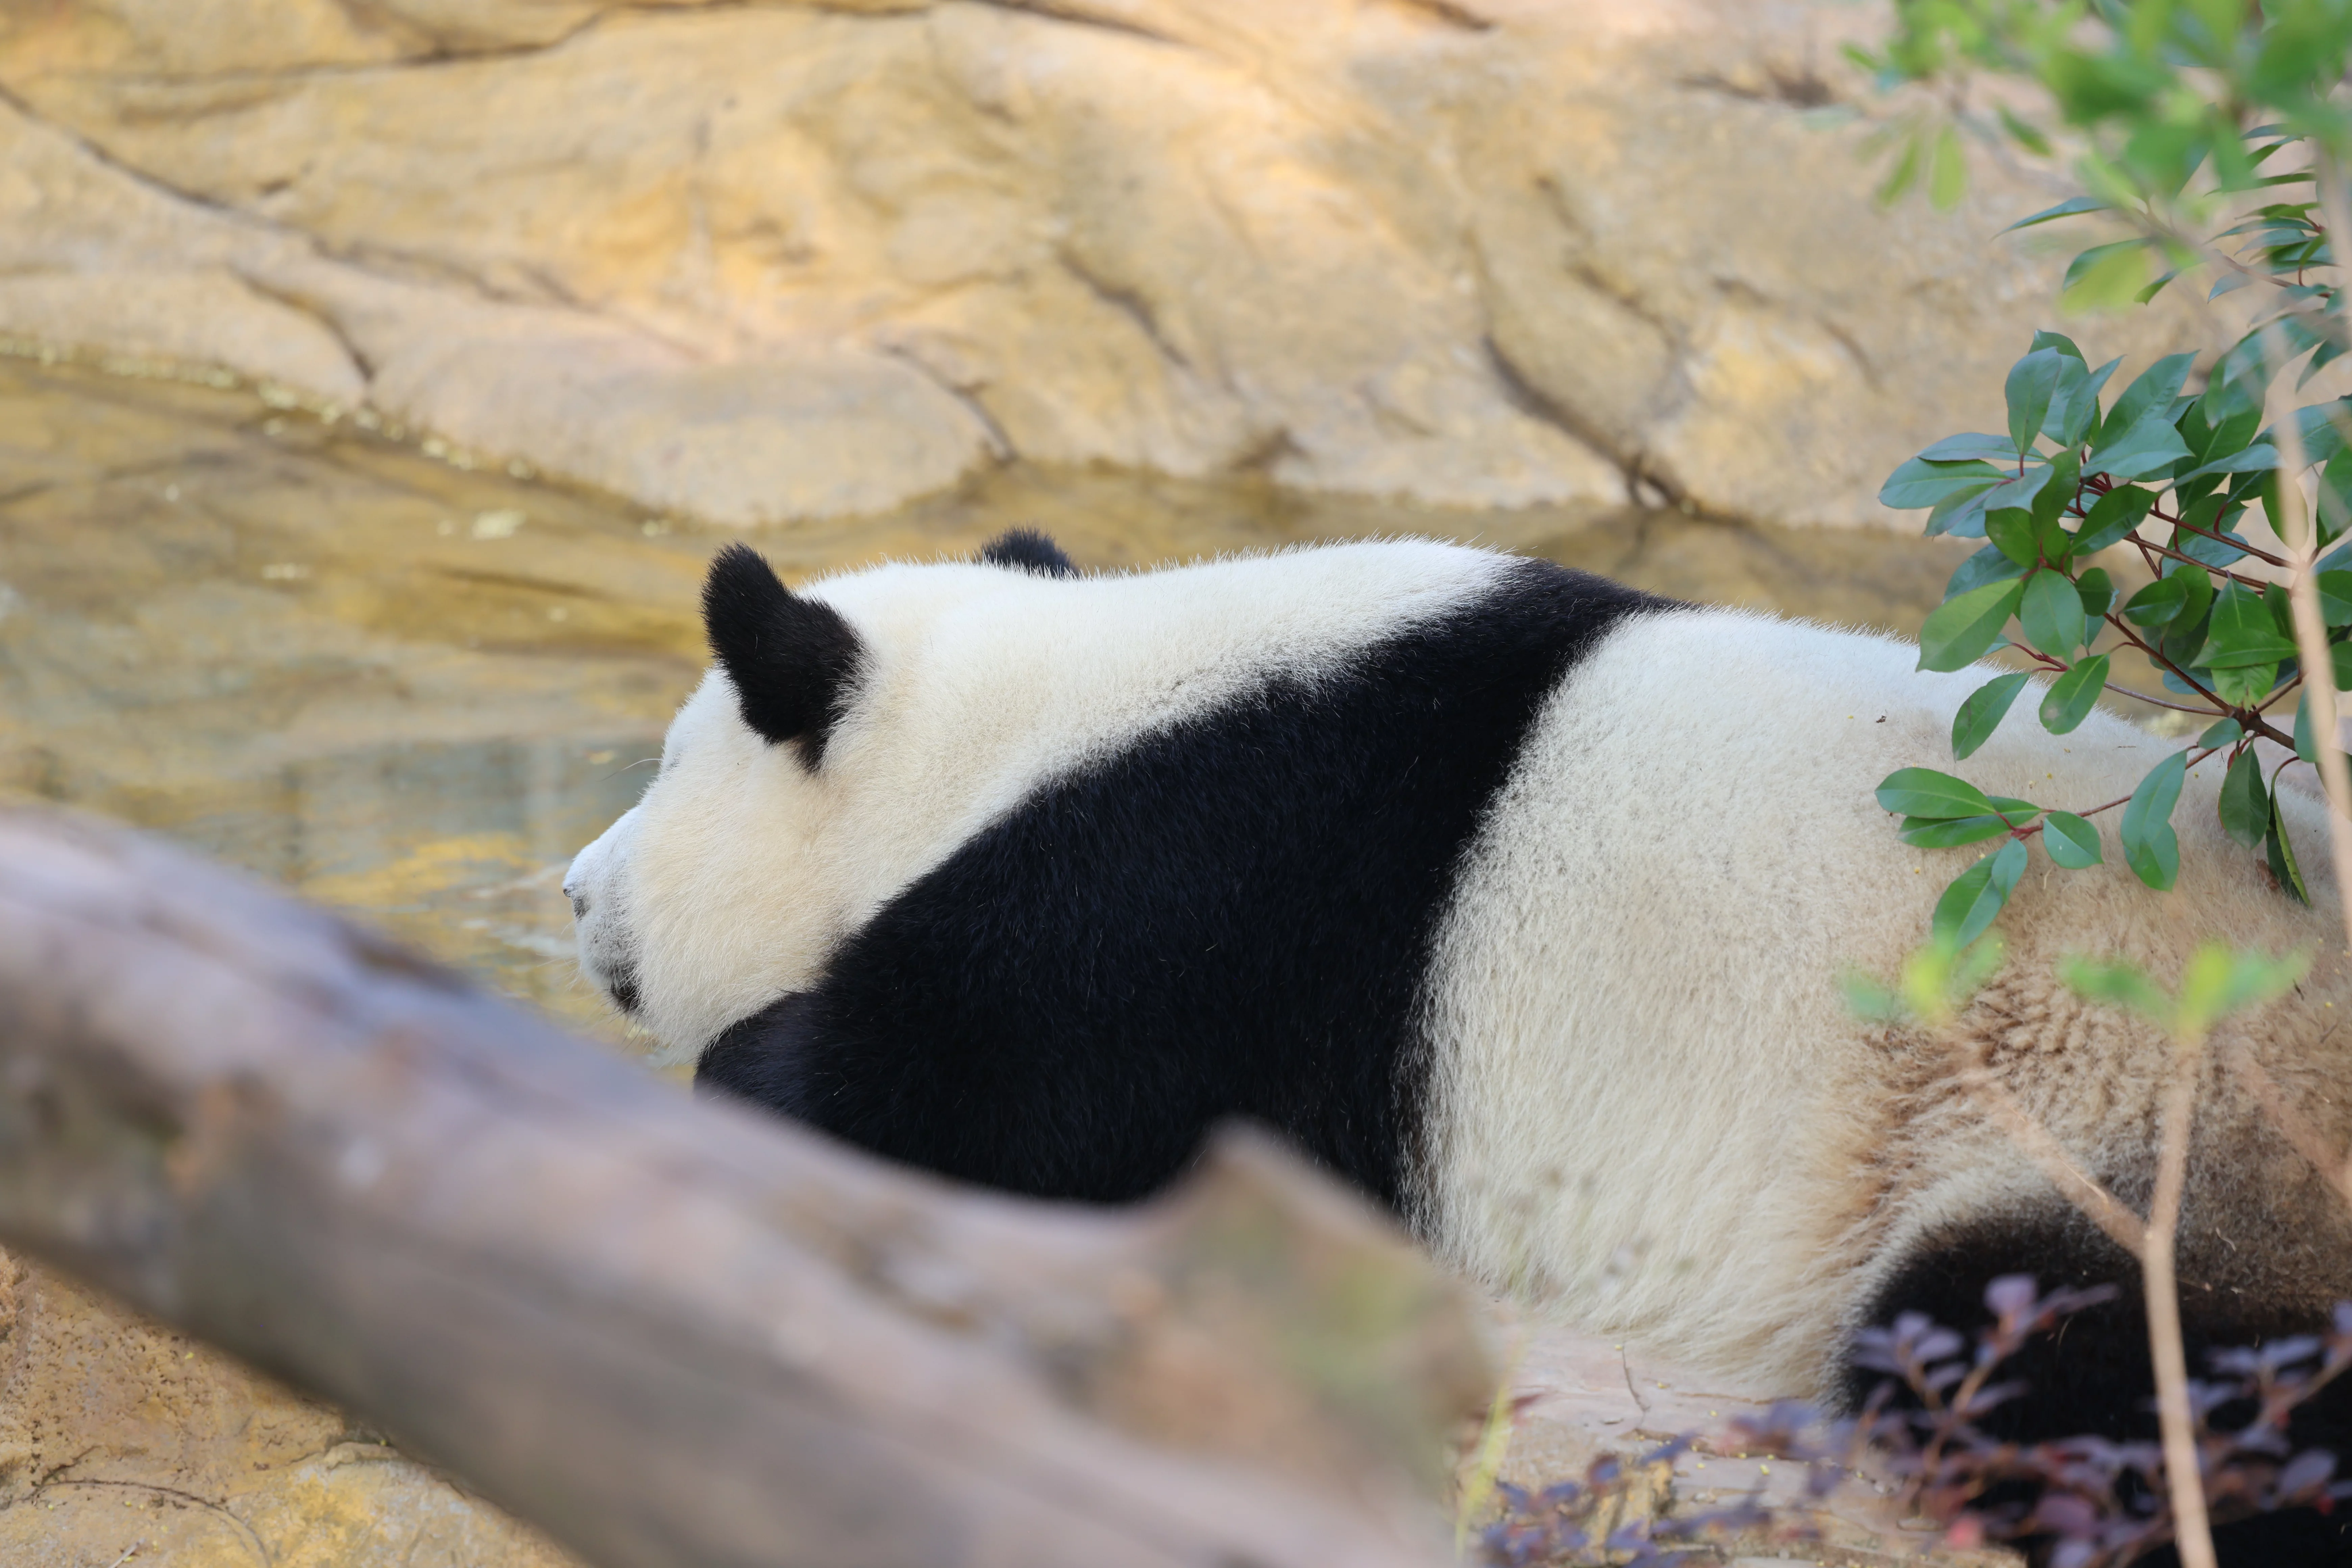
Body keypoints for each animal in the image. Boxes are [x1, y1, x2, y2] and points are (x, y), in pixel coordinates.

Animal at [566, 529, 2352, 1561]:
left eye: (663, 771)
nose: (579, 890)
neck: (1043, 717)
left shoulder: (1196, 909)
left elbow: (985, 1108)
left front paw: (760, 1067)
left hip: (2151, 1120)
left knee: (2097, 1358)